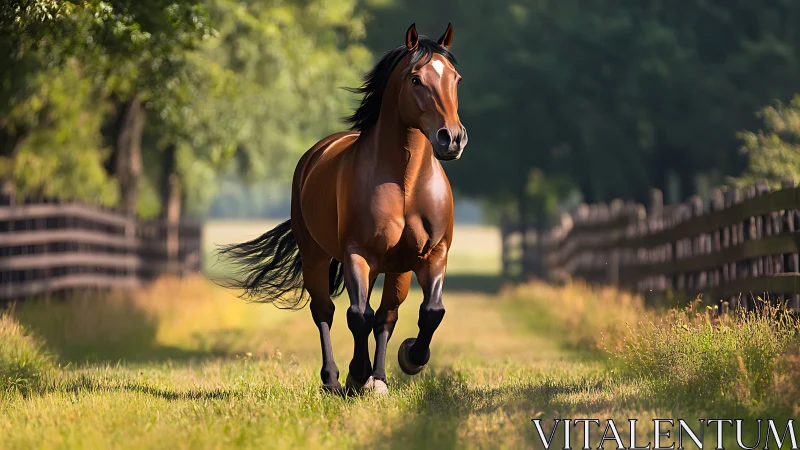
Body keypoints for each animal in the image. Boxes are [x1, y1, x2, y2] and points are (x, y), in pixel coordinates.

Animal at [217, 23, 467, 395]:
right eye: (416, 79)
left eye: (456, 78)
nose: (451, 138)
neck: (405, 184)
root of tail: (316, 153)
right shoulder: (357, 254)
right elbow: (357, 315)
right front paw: (357, 374)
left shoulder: (434, 254)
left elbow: (431, 311)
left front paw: (410, 357)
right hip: (316, 257)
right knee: (326, 311)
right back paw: (335, 379)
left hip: (396, 268)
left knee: (386, 316)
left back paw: (379, 380)